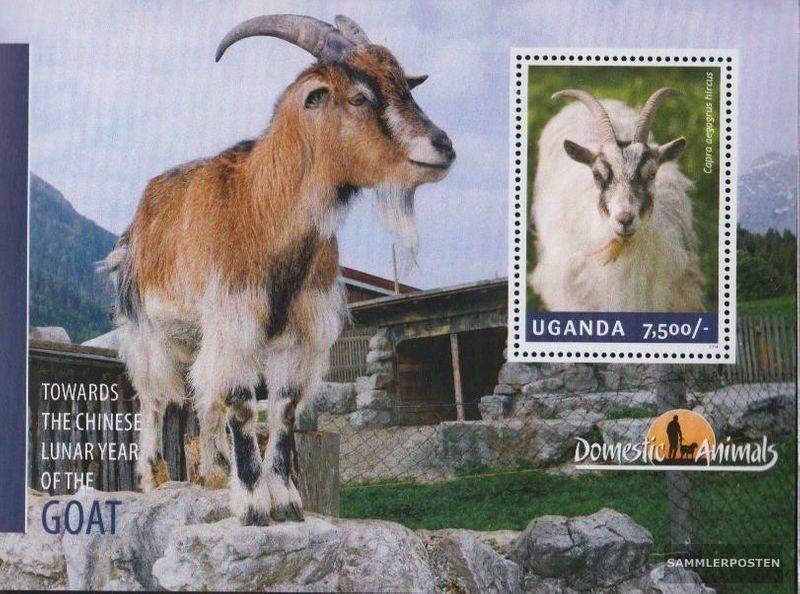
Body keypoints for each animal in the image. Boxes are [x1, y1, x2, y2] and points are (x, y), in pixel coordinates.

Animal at [106, 14, 454, 525]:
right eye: (358, 97)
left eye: (405, 88)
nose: (443, 146)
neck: (263, 206)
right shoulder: (235, 316)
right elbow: (241, 401)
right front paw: (253, 503)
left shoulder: (298, 331)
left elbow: (284, 407)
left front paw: (286, 500)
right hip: (148, 329)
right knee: (154, 398)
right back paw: (155, 478)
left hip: (195, 335)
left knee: (199, 394)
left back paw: (214, 474)